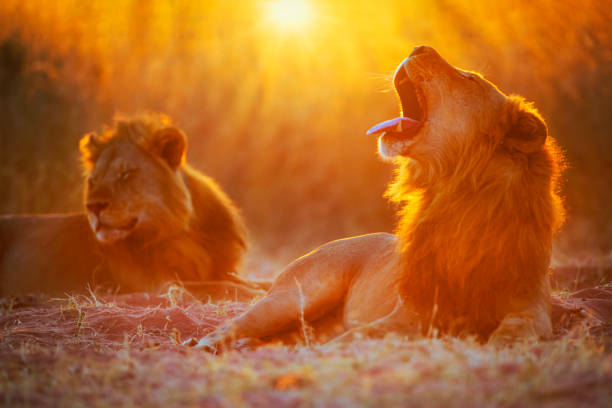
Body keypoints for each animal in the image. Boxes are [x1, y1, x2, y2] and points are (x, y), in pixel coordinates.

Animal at [0, 114, 264, 300]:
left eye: (125, 174)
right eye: (93, 181)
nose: (93, 207)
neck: (185, 233)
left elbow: (253, 281)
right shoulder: (159, 285)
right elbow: (221, 287)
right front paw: (255, 295)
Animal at [198, 46, 568, 350]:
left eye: (471, 79)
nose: (419, 46)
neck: (459, 197)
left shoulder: (530, 305)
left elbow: (519, 327)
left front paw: (502, 344)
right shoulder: (413, 309)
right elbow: (364, 333)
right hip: (294, 298)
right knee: (235, 323)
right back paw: (205, 344)